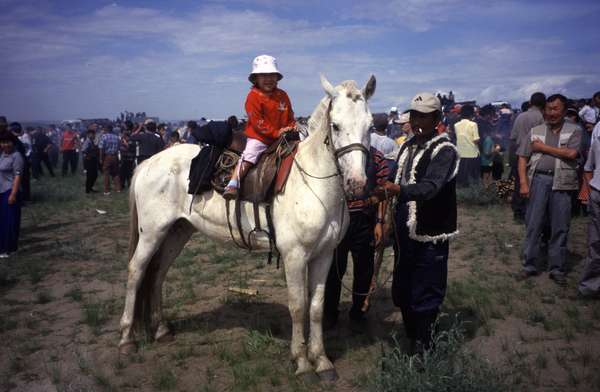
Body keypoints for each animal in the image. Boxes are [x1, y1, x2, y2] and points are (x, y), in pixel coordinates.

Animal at [118, 75, 376, 382]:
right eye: (335, 125)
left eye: (370, 126)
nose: (357, 182)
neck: (314, 183)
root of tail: (149, 161)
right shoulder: (294, 256)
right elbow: (298, 306)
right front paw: (302, 362)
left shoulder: (324, 255)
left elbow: (315, 308)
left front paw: (322, 361)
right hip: (152, 233)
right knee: (136, 272)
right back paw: (127, 339)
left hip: (177, 232)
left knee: (157, 273)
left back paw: (160, 330)